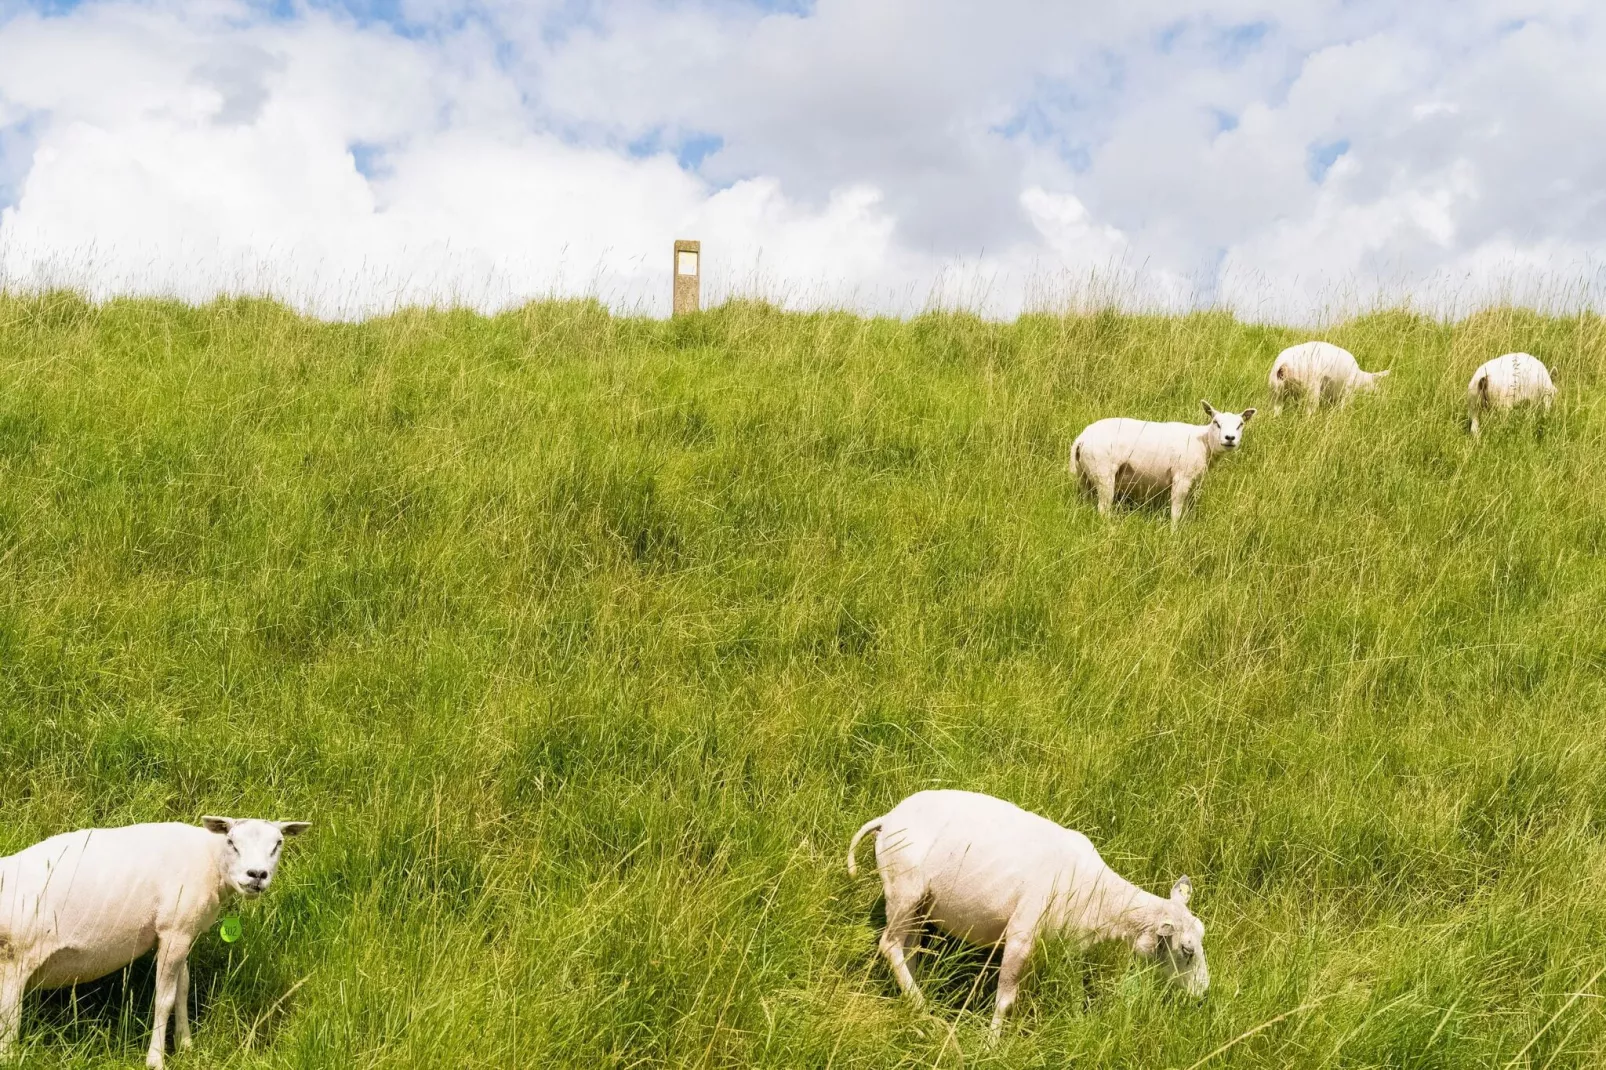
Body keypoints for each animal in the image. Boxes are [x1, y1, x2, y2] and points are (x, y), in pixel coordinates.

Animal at [0, 816, 309, 1060]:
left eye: (278, 843)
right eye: (232, 842)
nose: (257, 875)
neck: (210, 859)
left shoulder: (184, 932)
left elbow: (183, 989)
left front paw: (186, 1046)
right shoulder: (174, 931)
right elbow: (164, 998)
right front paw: (156, 1059)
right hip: (14, 957)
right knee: (8, 1017)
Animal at [854, 784, 1207, 1034]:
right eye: (1187, 950)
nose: (1202, 996)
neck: (1098, 894)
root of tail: (888, 819)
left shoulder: (1068, 946)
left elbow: (1075, 992)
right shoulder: (1021, 934)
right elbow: (1005, 1001)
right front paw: (991, 1045)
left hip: (920, 904)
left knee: (909, 948)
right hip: (904, 888)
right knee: (890, 945)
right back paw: (922, 1008)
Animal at [1066, 400, 1252, 530]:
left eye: (1240, 424)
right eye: (1216, 423)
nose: (1229, 438)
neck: (1204, 442)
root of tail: (1081, 439)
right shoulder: (1182, 477)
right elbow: (1176, 510)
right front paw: (1174, 532)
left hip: (1084, 475)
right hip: (1103, 471)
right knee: (1103, 509)